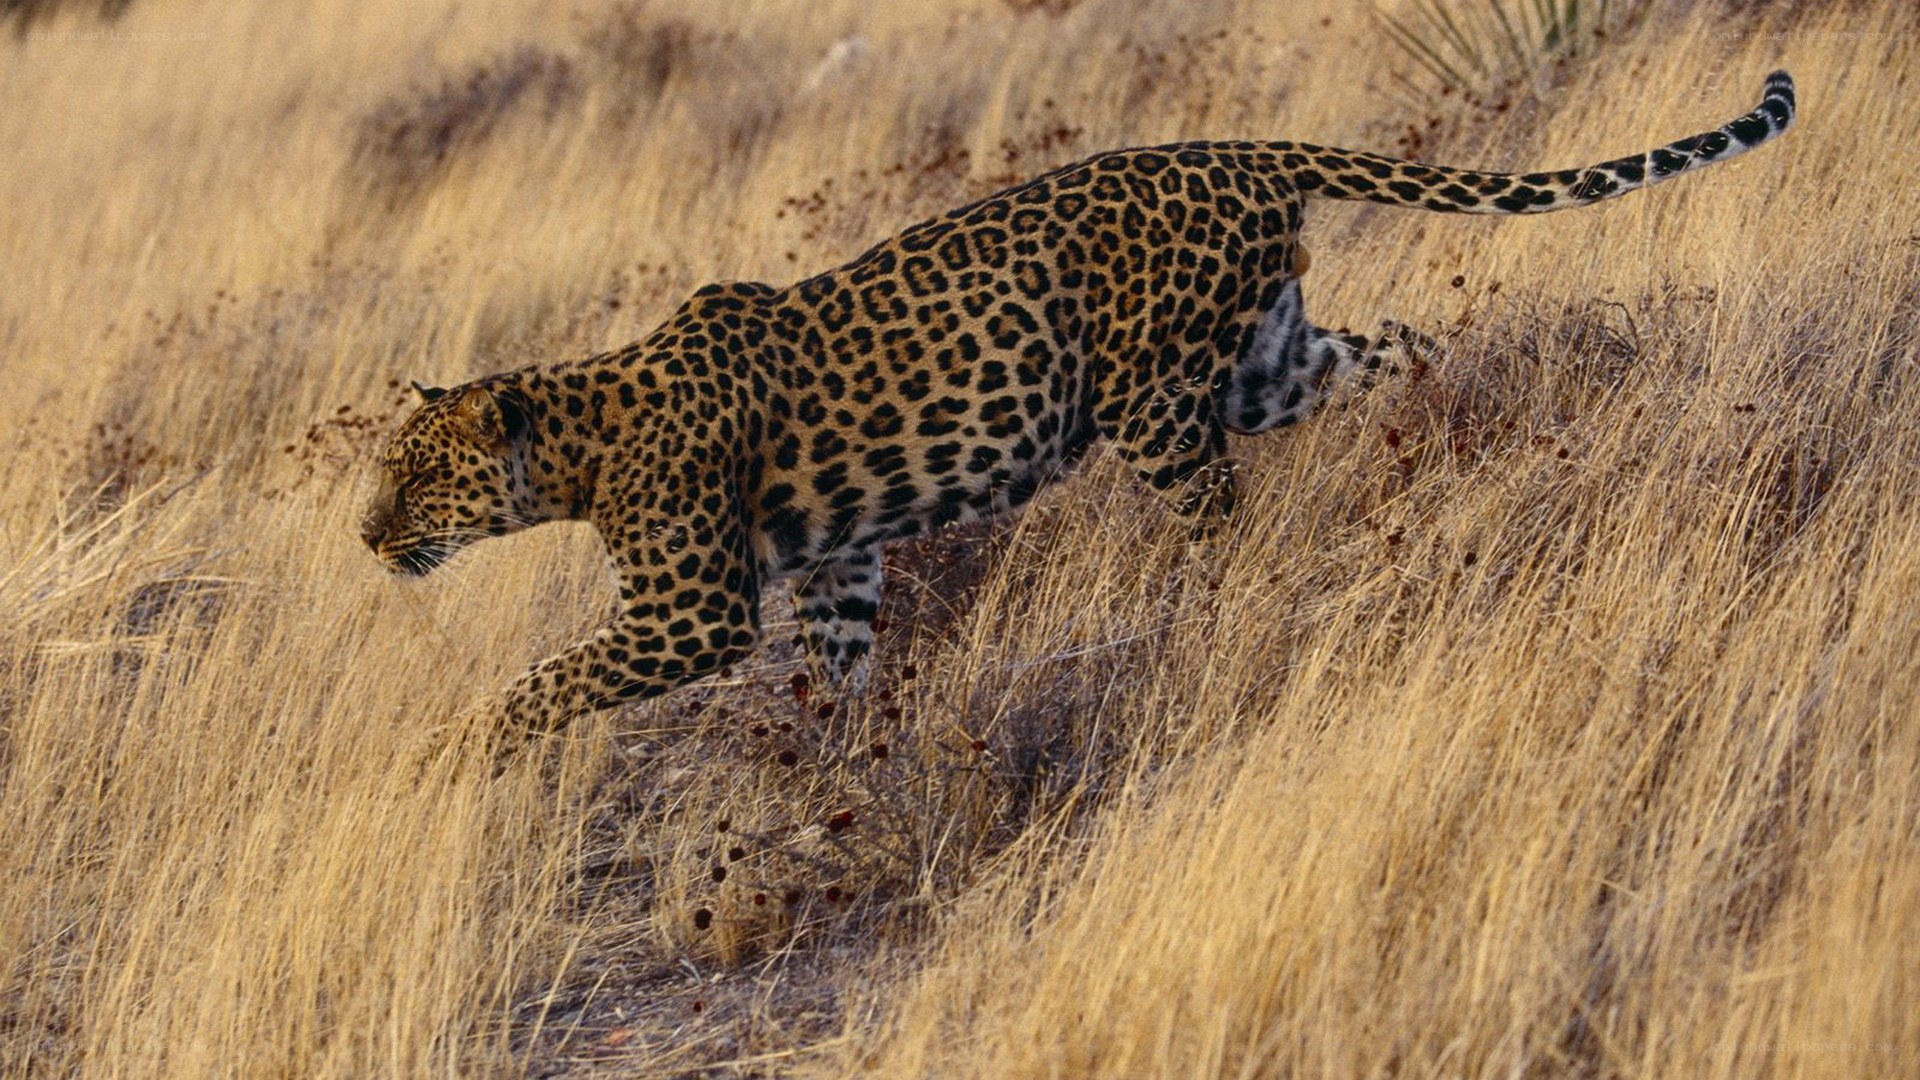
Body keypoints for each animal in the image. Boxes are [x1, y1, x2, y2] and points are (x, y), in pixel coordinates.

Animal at [362, 71, 1795, 735]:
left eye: (418, 476)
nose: (369, 539)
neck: (578, 443)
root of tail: (1242, 148)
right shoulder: (838, 565)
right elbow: (838, 666)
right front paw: (834, 760)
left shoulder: (689, 612)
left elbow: (544, 684)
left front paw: (461, 756)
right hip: (1270, 365)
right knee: (1399, 346)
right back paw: (1461, 426)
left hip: (1151, 404)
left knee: (1218, 516)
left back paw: (1211, 610)